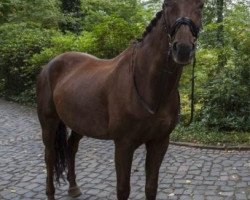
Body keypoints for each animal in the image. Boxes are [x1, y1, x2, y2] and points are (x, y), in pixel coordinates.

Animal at [36, 0, 203, 200]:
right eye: (168, 4)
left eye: (200, 5)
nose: (183, 49)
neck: (150, 89)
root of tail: (49, 65)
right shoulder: (124, 144)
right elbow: (123, 189)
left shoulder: (159, 142)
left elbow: (151, 187)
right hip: (49, 122)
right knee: (50, 156)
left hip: (79, 123)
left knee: (71, 147)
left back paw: (74, 187)